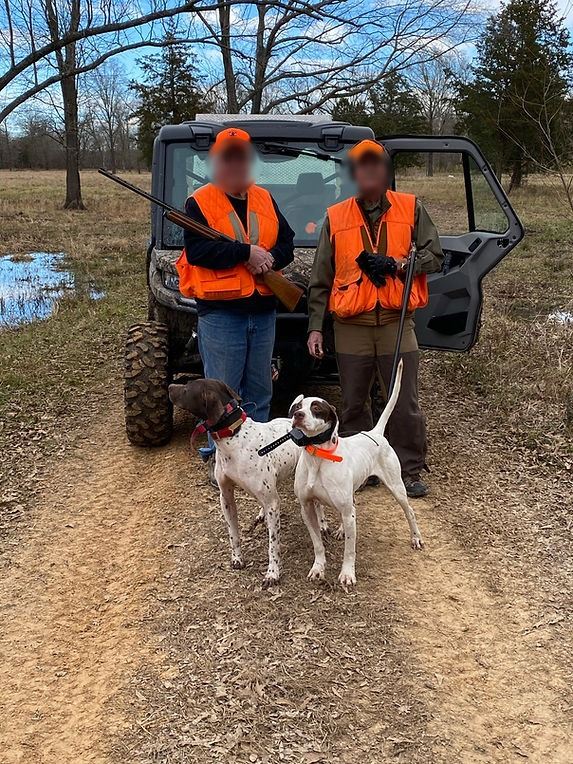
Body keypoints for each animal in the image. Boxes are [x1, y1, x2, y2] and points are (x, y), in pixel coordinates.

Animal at [169, 378, 311, 588]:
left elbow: (273, 545)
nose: (170, 386)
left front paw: (272, 573)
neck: (233, 436)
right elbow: (233, 533)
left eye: (187, 388)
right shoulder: (226, 497)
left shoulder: (272, 502)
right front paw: (237, 558)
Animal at [289, 361, 424, 588]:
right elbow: (318, 544)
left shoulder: (346, 512)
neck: (318, 457)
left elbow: (349, 550)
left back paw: (415, 537)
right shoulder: (307, 508)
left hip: (397, 488)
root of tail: (375, 433)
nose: (298, 416)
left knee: (410, 512)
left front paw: (347, 574)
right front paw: (318, 568)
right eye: (298, 407)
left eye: (316, 408)